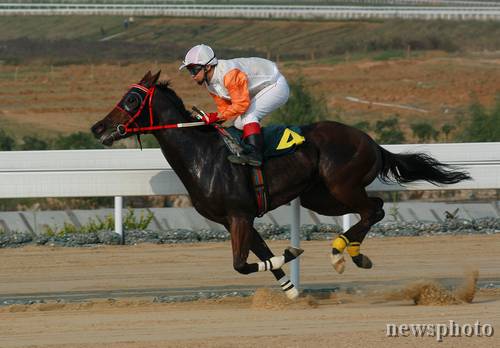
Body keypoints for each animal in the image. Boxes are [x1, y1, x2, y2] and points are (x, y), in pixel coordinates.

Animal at [92, 70, 470, 300]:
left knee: (372, 210)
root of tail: (370, 141)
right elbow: (260, 257)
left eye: (131, 100)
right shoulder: (235, 219)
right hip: (320, 197)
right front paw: (291, 289)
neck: (204, 156)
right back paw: (353, 254)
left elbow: (241, 264)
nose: (98, 128)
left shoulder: (240, 216)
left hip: (342, 186)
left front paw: (291, 253)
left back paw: (340, 251)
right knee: (370, 211)